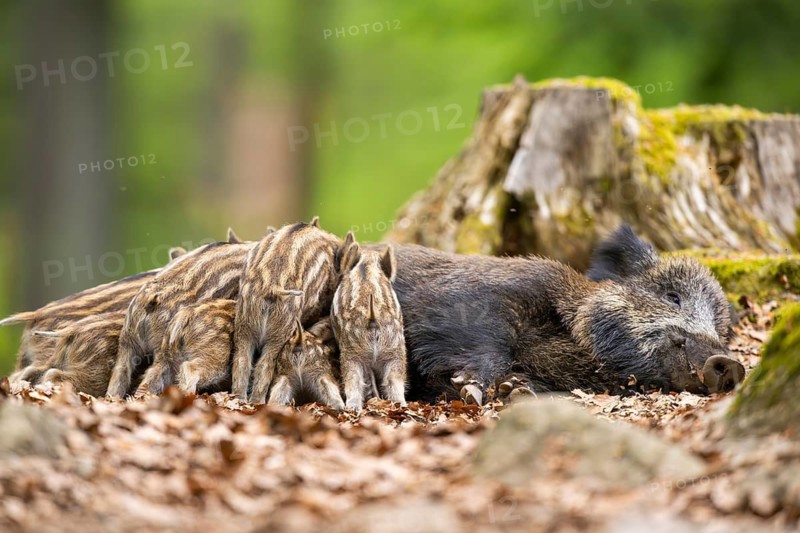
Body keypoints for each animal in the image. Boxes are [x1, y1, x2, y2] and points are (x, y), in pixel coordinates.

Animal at [231, 218, 356, 403]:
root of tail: (270, 287)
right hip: (281, 329)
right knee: (264, 366)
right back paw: (257, 401)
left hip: (244, 324)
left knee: (241, 361)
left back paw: (239, 399)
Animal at [331, 244, 407, 411]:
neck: (367, 263)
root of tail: (372, 318)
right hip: (395, 350)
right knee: (394, 382)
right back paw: (402, 406)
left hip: (352, 354)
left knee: (353, 381)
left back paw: (353, 408)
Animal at [385, 225, 745, 403]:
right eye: (673, 297)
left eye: (720, 328)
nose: (729, 363)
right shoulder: (466, 301)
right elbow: (485, 341)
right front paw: (471, 391)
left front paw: (516, 391)